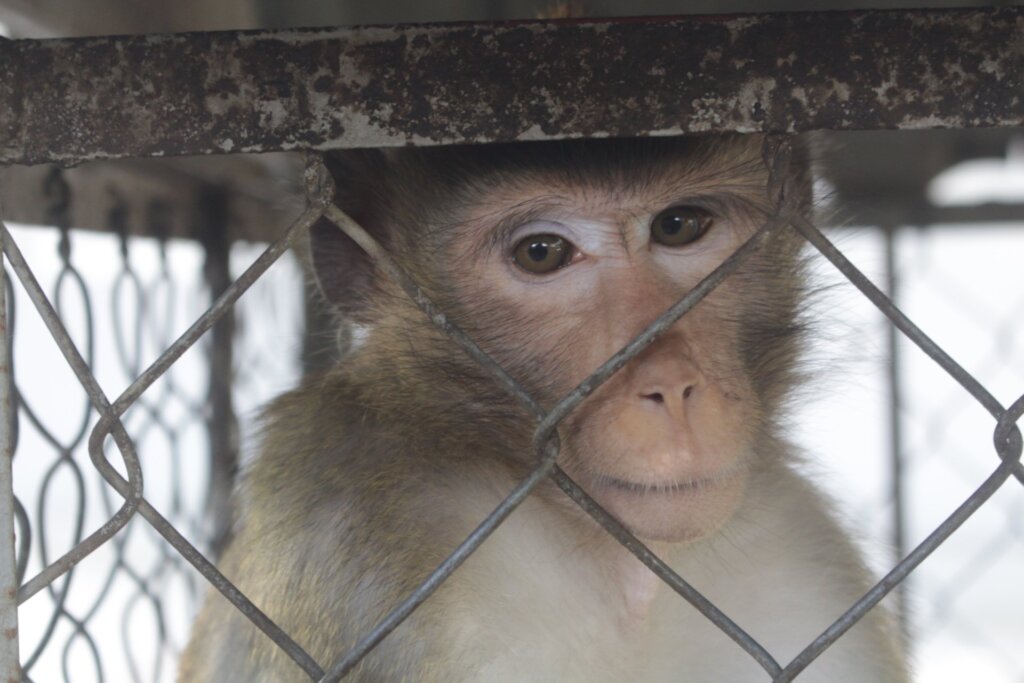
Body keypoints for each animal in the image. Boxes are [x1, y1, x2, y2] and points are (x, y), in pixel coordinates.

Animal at [179, 134, 908, 682]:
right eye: (542, 252)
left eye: (678, 225)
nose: (671, 387)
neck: (624, 568)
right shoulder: (342, 524)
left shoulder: (800, 557)